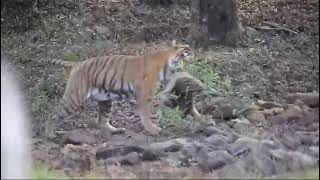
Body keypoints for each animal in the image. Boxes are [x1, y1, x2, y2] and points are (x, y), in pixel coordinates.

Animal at [44, 41, 192, 138]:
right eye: (186, 53)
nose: (193, 56)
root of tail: (77, 63)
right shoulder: (145, 93)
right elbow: (145, 113)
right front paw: (153, 129)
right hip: (74, 98)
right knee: (53, 114)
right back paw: (49, 134)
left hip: (105, 100)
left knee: (103, 120)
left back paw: (116, 130)